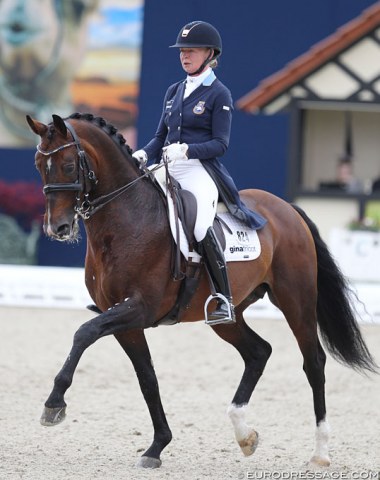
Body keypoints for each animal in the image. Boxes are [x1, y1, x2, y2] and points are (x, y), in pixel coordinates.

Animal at [26, 111, 378, 468]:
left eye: (69, 165)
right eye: (39, 165)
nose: (57, 228)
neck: (128, 219)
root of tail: (288, 208)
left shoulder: (139, 308)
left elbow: (83, 333)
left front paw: (54, 404)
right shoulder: (125, 320)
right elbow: (147, 378)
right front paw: (157, 447)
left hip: (297, 300)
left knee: (313, 363)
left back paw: (320, 452)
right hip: (229, 315)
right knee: (258, 352)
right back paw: (244, 434)